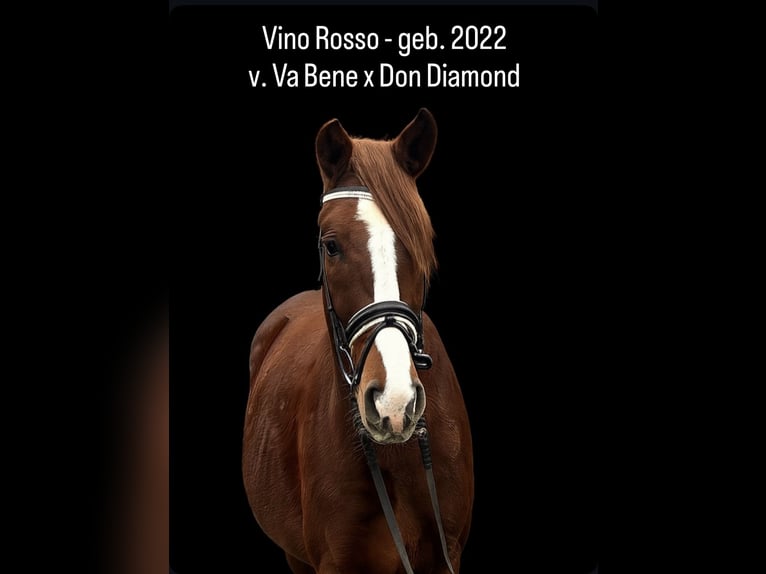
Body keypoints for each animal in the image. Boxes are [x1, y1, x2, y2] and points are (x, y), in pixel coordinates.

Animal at [243, 108, 474, 573]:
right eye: (331, 245)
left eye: (420, 241)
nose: (394, 403)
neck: (399, 456)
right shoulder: (335, 561)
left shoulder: (447, 554)